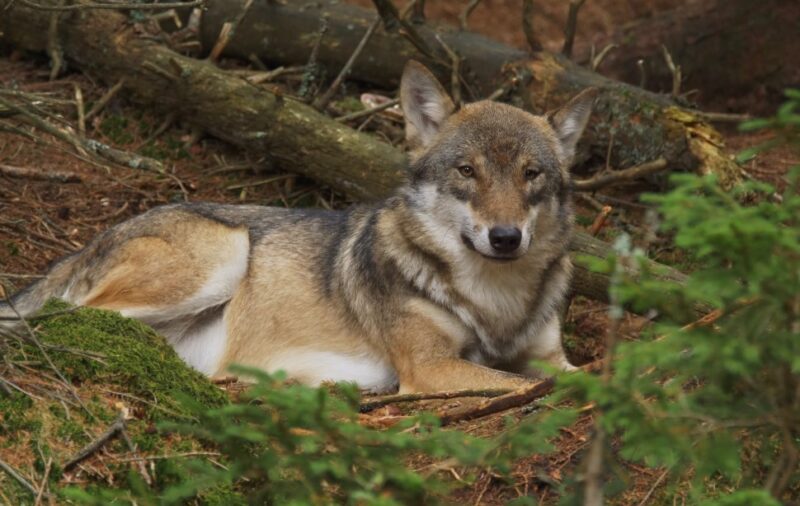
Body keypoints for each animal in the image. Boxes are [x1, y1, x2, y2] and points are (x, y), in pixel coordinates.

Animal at [1, 62, 592, 396]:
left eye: (531, 175)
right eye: (467, 171)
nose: (506, 238)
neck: (496, 302)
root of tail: (88, 242)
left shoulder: (552, 356)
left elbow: (577, 374)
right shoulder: (430, 369)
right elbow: (527, 384)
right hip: (225, 252)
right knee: (64, 318)